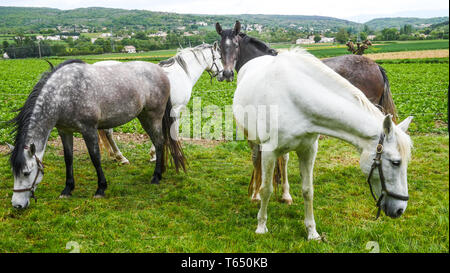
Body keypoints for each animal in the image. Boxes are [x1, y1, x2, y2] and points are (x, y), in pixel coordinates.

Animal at [7, 60, 186, 208]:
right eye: (14, 173)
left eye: (26, 173)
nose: (17, 205)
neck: (64, 94)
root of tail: (160, 71)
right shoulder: (64, 131)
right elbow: (68, 158)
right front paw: (67, 189)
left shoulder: (89, 129)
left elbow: (95, 157)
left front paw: (100, 188)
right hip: (143, 117)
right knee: (159, 142)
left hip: (153, 116)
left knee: (159, 142)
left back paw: (156, 177)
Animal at [217, 21, 412, 239]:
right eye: (395, 162)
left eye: (234, 45)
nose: (400, 209)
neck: (295, 97)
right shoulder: (269, 150)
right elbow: (267, 188)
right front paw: (261, 225)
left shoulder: (308, 150)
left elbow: (307, 190)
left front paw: (312, 231)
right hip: (251, 137)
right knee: (255, 159)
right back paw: (255, 194)